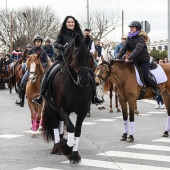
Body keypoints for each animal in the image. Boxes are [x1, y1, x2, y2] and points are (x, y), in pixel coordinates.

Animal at [43, 34, 92, 163]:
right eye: (75, 56)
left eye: (89, 56)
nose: (84, 80)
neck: (76, 86)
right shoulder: (62, 109)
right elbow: (70, 127)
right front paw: (67, 146)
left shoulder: (83, 111)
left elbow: (77, 130)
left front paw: (74, 154)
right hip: (51, 108)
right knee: (55, 124)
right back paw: (57, 147)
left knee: (60, 124)